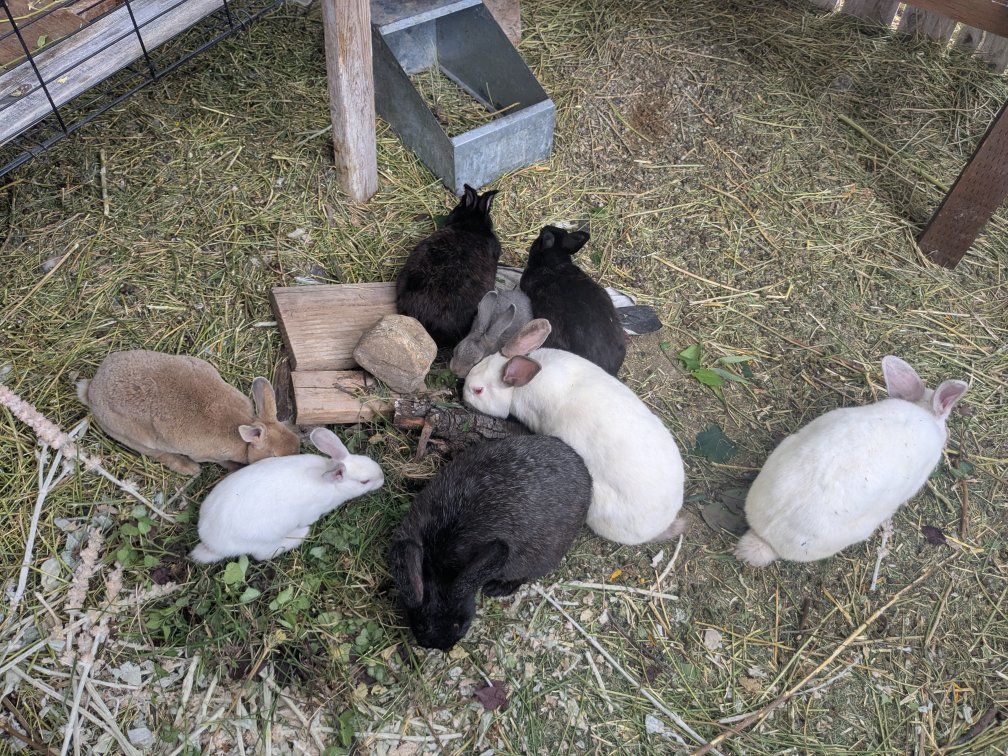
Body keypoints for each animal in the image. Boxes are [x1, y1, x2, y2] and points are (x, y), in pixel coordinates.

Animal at [77, 350, 299, 475]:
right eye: (274, 457)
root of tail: (91, 390)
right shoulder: (209, 455)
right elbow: (223, 462)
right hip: (136, 437)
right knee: (159, 454)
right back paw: (190, 470)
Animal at [190, 427, 384, 563]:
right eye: (364, 482)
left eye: (367, 459)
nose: (382, 478)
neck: (330, 482)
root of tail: (210, 543)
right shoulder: (311, 513)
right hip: (265, 541)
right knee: (262, 555)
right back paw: (299, 535)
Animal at [387, 435, 591, 651]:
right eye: (418, 624)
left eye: (459, 625)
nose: (439, 646)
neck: (439, 562)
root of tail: (586, 476)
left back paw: (496, 588)